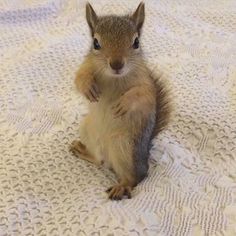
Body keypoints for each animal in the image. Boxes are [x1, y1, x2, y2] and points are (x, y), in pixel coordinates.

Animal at [70, 2, 170, 201]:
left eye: (136, 42)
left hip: (124, 147)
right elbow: (80, 78)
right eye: (96, 43)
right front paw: (88, 88)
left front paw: (124, 103)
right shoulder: (86, 66)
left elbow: (142, 96)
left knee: (135, 177)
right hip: (88, 129)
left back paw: (122, 187)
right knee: (99, 160)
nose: (116, 64)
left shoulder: (147, 84)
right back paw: (82, 150)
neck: (114, 78)